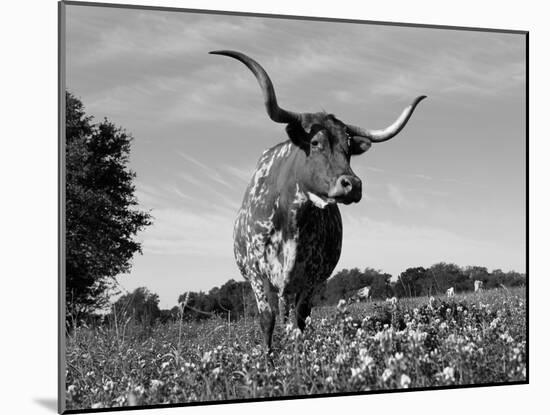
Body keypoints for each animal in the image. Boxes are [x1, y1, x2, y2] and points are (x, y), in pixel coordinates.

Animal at [211, 49, 426, 352]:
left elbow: (300, 320)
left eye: (349, 148)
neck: (290, 218)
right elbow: (267, 321)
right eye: (315, 143)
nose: (352, 184)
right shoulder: (257, 275)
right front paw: (268, 360)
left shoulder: (311, 278)